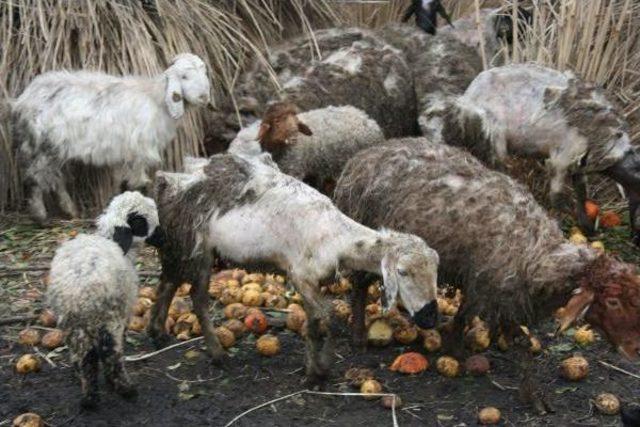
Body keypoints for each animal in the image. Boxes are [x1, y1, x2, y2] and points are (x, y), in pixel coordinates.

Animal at [10, 53, 210, 224]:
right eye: (184, 76)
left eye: (204, 72)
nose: (204, 97)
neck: (156, 99)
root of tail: (23, 99)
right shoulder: (138, 151)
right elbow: (138, 183)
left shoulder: (122, 154)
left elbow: (119, 181)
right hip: (41, 145)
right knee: (35, 178)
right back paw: (40, 216)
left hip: (56, 148)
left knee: (56, 179)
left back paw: (70, 210)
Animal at [150, 154, 440, 384]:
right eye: (402, 272)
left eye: (435, 272)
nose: (430, 317)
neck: (336, 237)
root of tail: (169, 180)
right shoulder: (300, 275)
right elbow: (327, 318)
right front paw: (321, 369)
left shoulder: (312, 281)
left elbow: (313, 323)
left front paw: (313, 368)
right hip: (194, 246)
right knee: (196, 297)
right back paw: (218, 354)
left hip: (181, 246)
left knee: (167, 283)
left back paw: (158, 334)